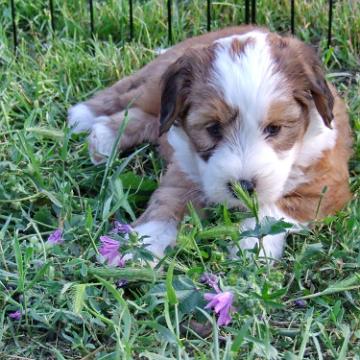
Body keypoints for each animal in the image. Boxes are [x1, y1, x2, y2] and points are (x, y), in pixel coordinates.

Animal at [67, 26, 352, 262]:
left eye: (275, 129)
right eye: (213, 129)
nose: (243, 187)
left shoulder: (325, 185)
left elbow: (274, 208)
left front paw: (252, 245)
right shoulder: (184, 170)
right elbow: (167, 205)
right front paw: (137, 248)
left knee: (144, 118)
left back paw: (101, 137)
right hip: (155, 90)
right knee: (130, 100)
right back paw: (88, 121)